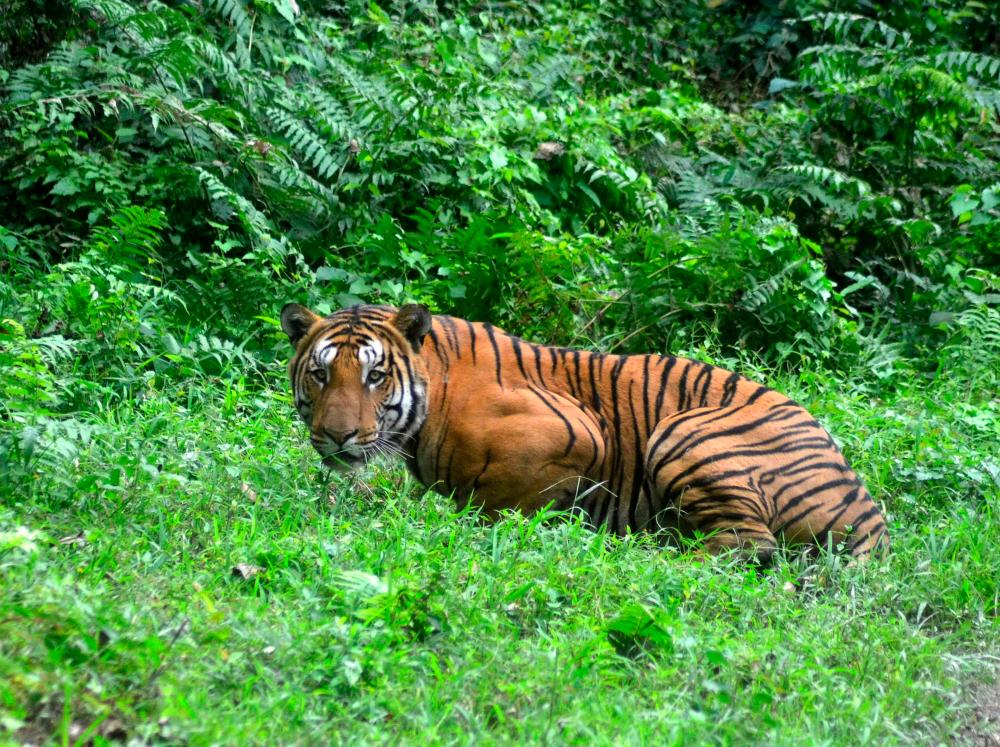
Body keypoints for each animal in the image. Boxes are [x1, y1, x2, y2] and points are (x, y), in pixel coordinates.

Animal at [280, 302, 889, 563]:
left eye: (375, 376)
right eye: (321, 373)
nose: (337, 436)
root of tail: (869, 512)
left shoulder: (578, 432)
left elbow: (500, 502)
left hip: (683, 431)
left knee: (747, 546)